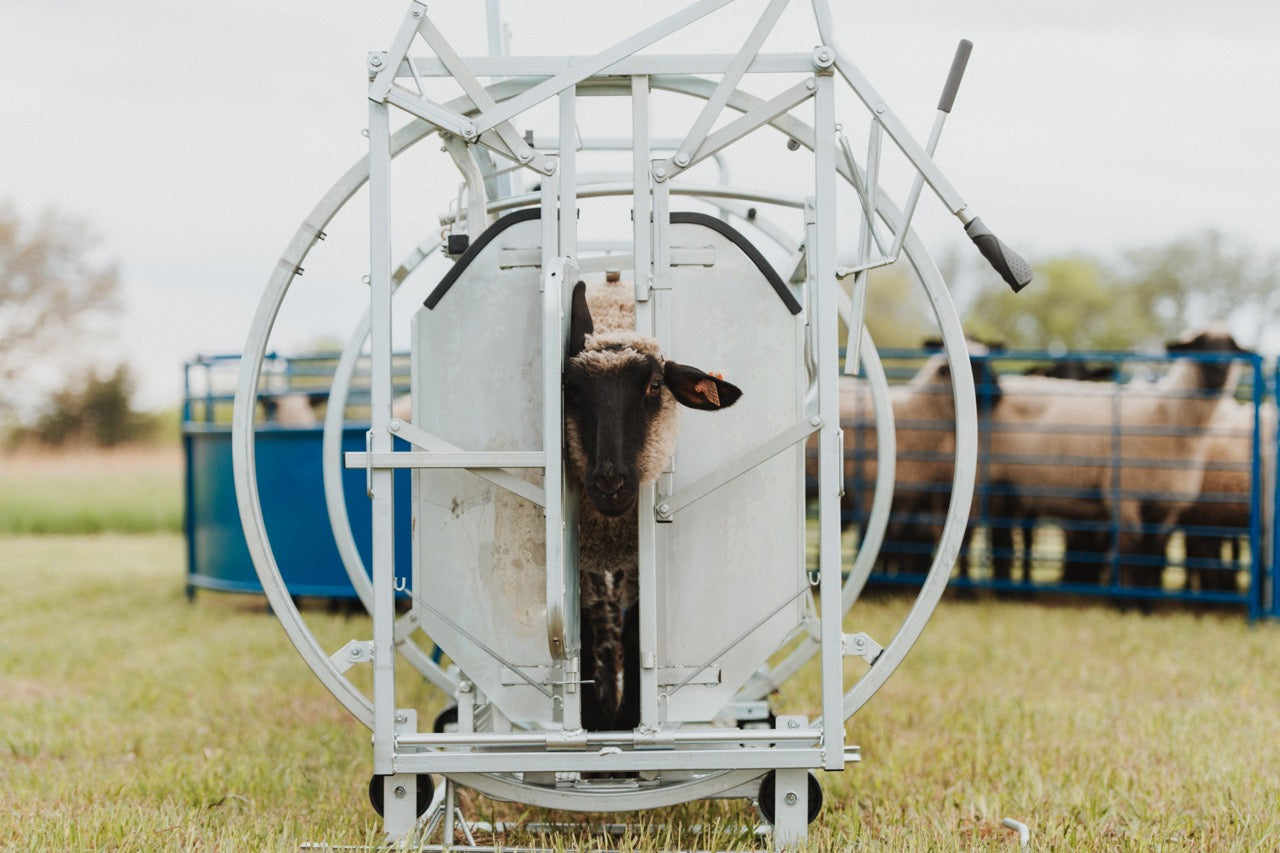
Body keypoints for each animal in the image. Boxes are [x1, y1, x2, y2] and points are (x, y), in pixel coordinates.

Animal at [562, 278, 742, 731]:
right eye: (571, 391)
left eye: (655, 386)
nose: (609, 481)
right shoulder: (584, 561)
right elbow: (586, 633)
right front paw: (598, 719)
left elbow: (636, 632)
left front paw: (629, 718)